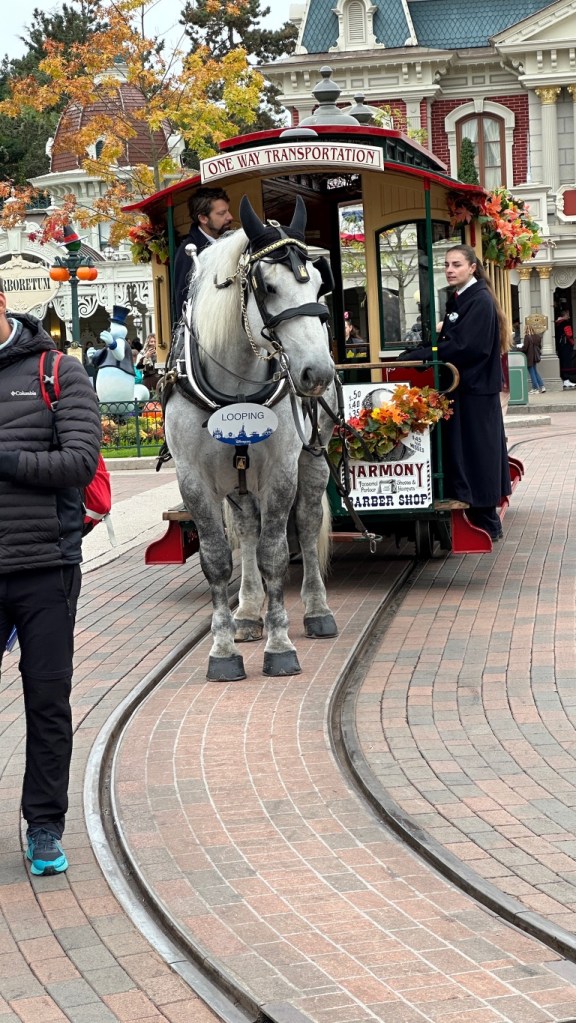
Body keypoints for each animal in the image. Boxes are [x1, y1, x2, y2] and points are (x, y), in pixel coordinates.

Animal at [163, 195, 338, 681]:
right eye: (268, 287)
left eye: (321, 285)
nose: (317, 373)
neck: (235, 388)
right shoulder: (194, 479)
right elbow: (219, 558)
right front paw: (223, 651)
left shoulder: (280, 471)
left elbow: (275, 552)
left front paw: (280, 646)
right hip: (238, 479)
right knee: (245, 529)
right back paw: (246, 613)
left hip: (314, 455)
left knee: (307, 522)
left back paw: (317, 610)